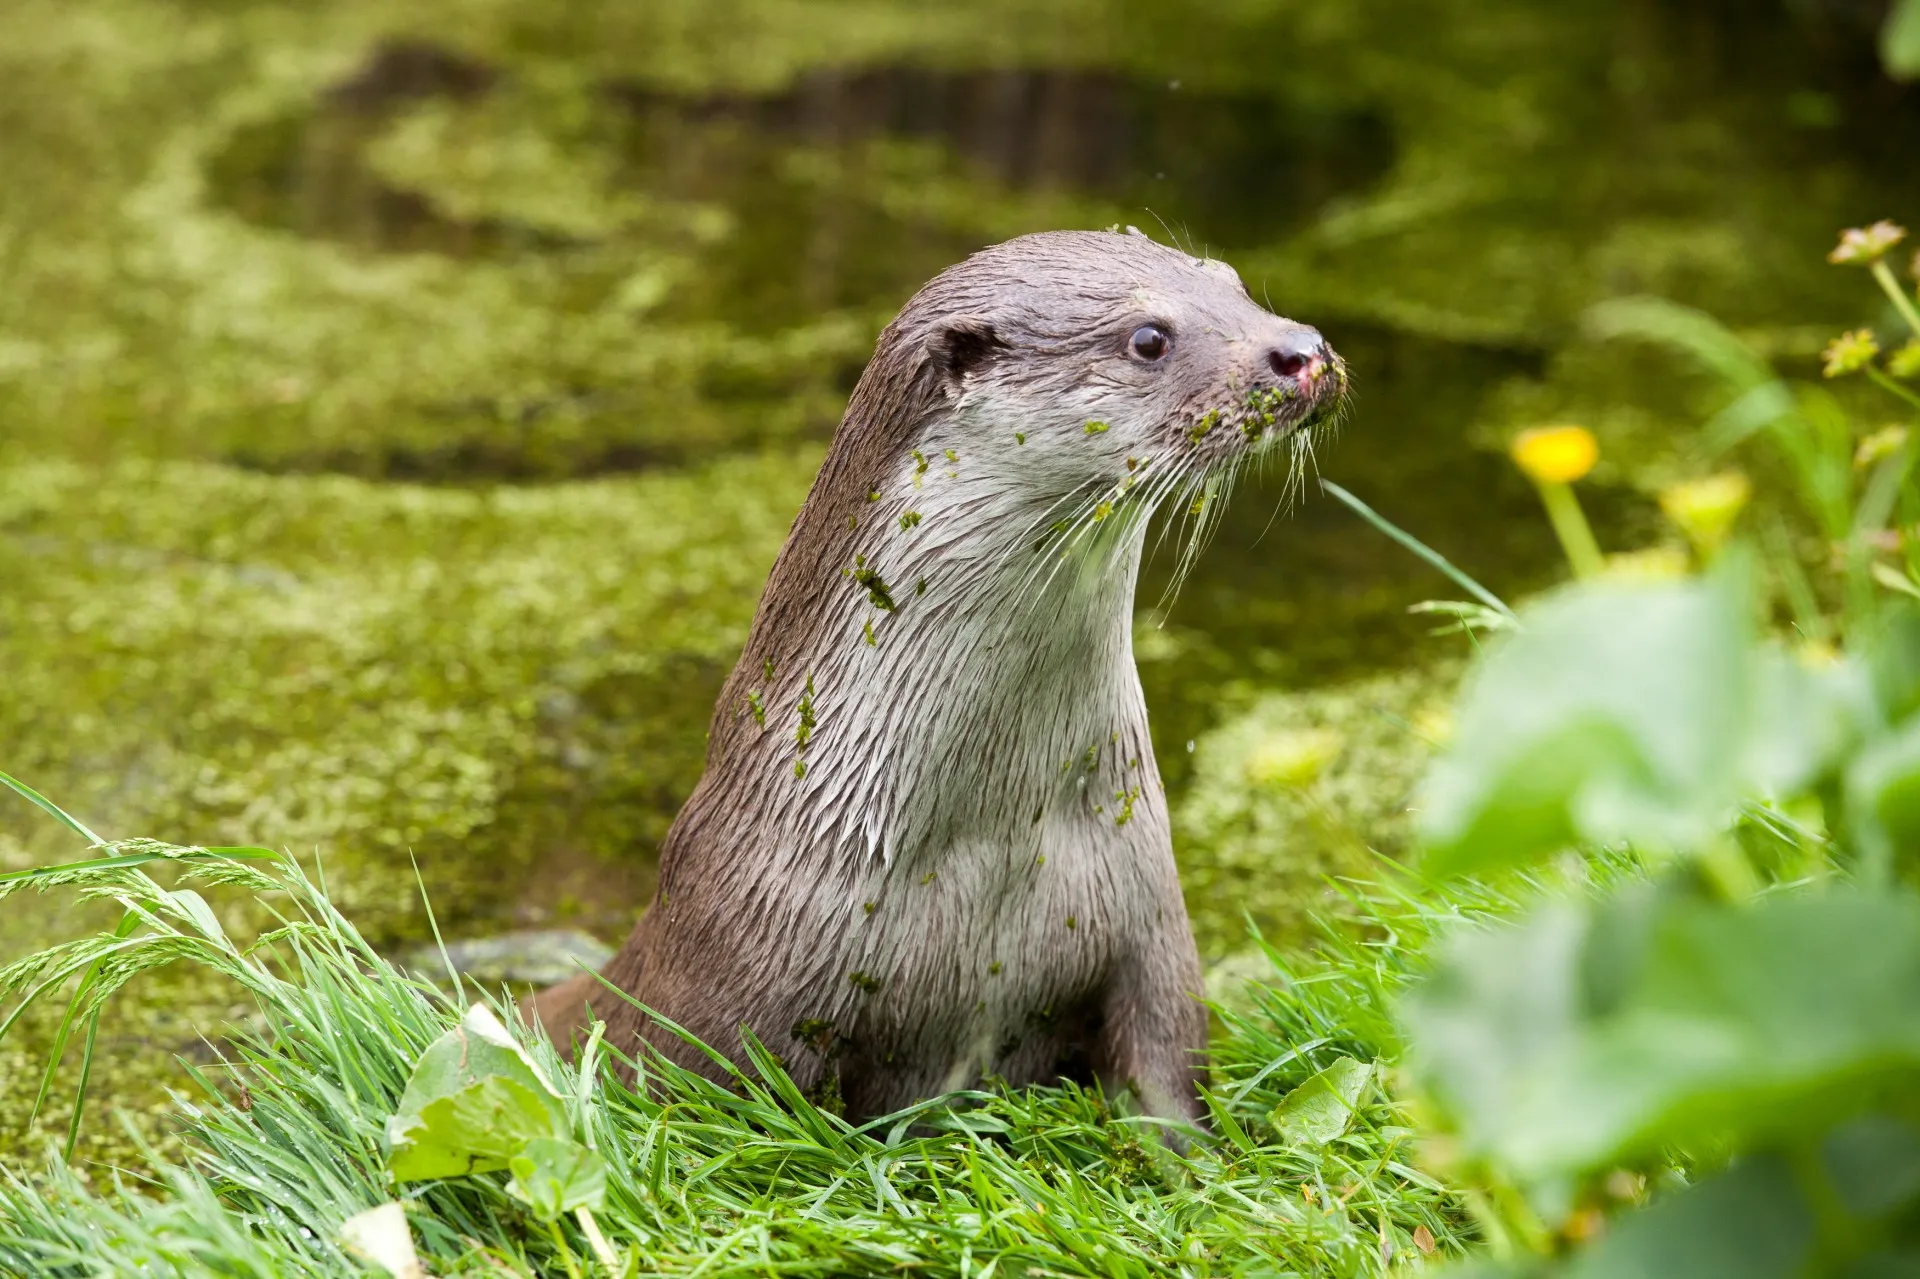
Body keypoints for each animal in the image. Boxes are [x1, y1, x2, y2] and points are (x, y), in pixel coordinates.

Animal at [531, 229, 1344, 1126]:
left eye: (1231, 282)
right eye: (1148, 338)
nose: (1303, 351)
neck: (985, 843)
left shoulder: (1150, 922)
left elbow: (1168, 1068)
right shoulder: (723, 996)